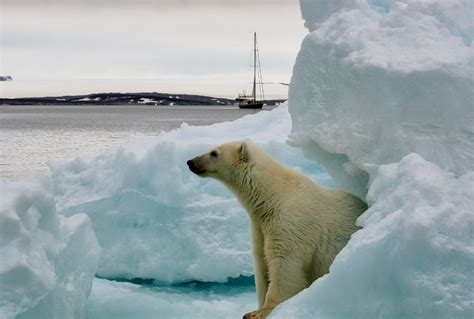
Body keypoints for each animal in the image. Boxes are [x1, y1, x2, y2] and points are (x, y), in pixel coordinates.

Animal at [187, 142, 368, 319]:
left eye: (214, 153)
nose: (190, 162)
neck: (274, 196)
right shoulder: (260, 226)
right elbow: (261, 262)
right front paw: (255, 308)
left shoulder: (290, 222)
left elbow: (284, 264)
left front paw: (262, 311)